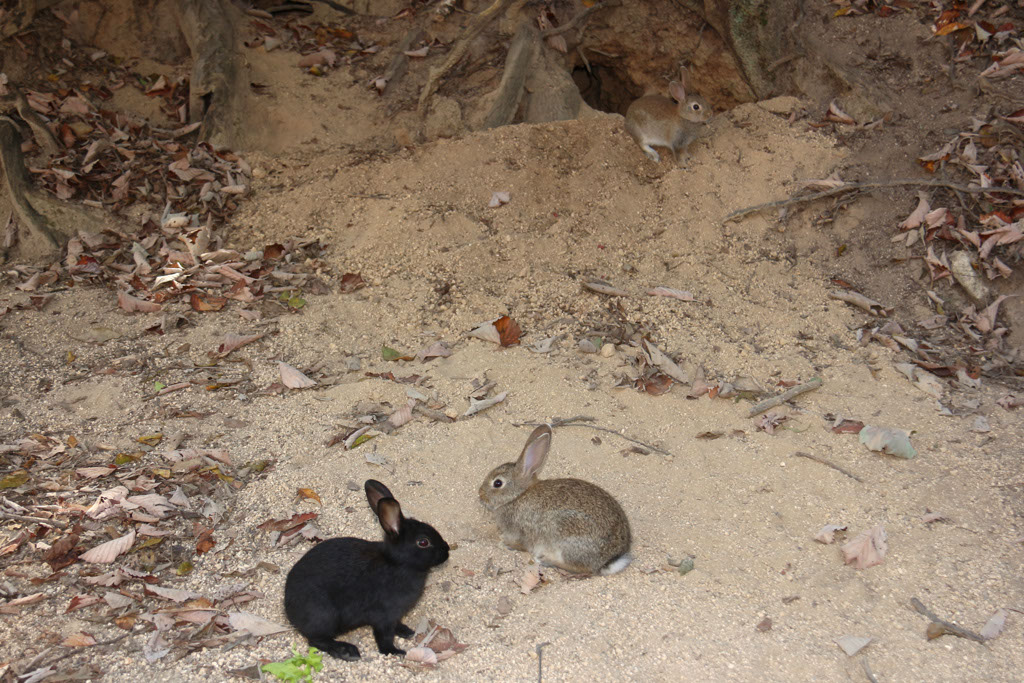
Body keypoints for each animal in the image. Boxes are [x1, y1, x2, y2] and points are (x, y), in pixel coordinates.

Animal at [283, 479, 449, 661]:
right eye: (423, 542)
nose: (447, 551)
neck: (396, 563)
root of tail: (289, 609)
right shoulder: (384, 616)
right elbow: (384, 637)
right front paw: (394, 651)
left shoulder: (394, 616)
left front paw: (406, 631)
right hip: (324, 616)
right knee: (316, 640)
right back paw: (346, 651)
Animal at [478, 424, 632, 576]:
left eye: (497, 483)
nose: (480, 495)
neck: (518, 495)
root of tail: (609, 560)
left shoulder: (521, 532)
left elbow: (521, 544)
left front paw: (504, 543)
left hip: (566, 539)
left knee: (582, 568)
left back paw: (545, 560)